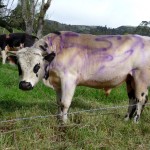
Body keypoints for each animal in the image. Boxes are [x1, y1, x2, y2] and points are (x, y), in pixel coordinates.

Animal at [12, 31, 150, 123]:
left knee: (141, 100)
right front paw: (58, 118)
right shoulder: (58, 83)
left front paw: (64, 122)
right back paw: (126, 119)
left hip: (141, 78)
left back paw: (135, 121)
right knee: (132, 99)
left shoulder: (69, 79)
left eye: (37, 65)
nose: (24, 85)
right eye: (19, 65)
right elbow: (59, 102)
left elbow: (65, 103)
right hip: (130, 79)